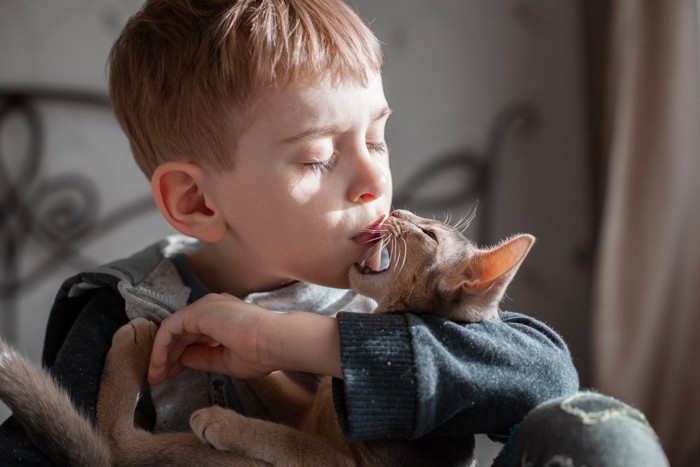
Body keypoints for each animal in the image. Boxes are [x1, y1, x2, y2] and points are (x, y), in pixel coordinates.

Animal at [0, 210, 532, 466]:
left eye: (429, 234)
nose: (394, 207)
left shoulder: (341, 462)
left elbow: (285, 439)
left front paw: (224, 419)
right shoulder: (309, 410)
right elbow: (276, 381)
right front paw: (224, 340)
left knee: (118, 445)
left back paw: (136, 341)